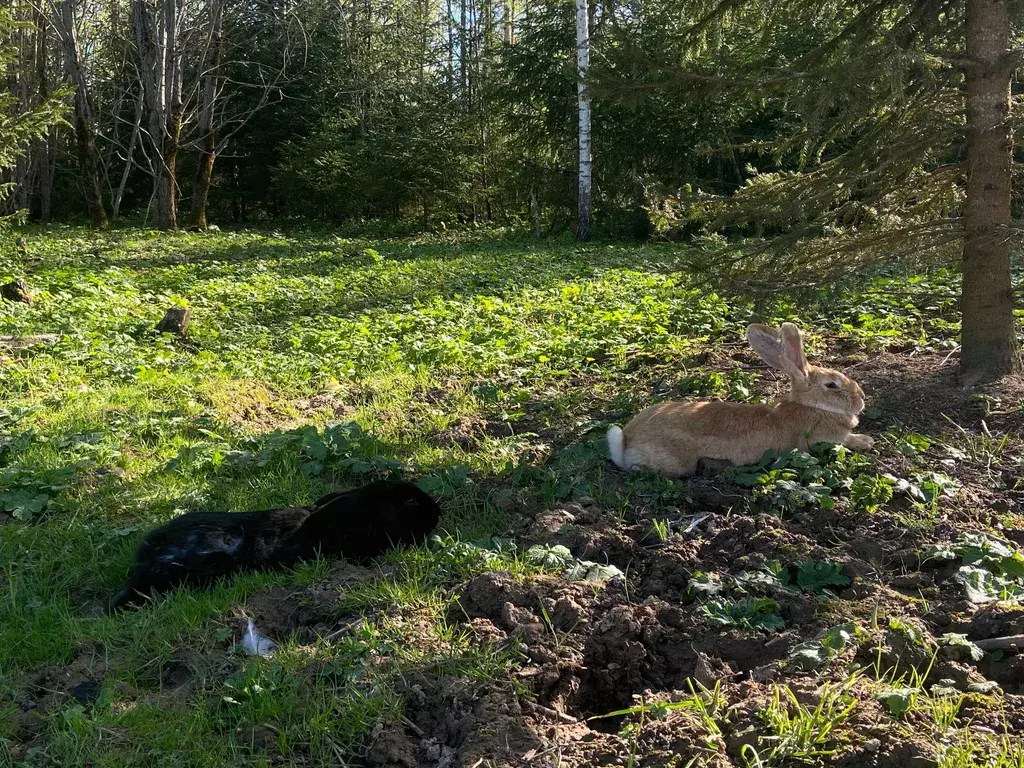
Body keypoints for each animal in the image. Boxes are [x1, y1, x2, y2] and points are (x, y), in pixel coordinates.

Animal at [602, 323, 876, 479]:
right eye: (832, 385)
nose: (861, 399)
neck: (810, 406)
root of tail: (626, 442)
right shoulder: (825, 439)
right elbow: (847, 441)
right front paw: (866, 441)